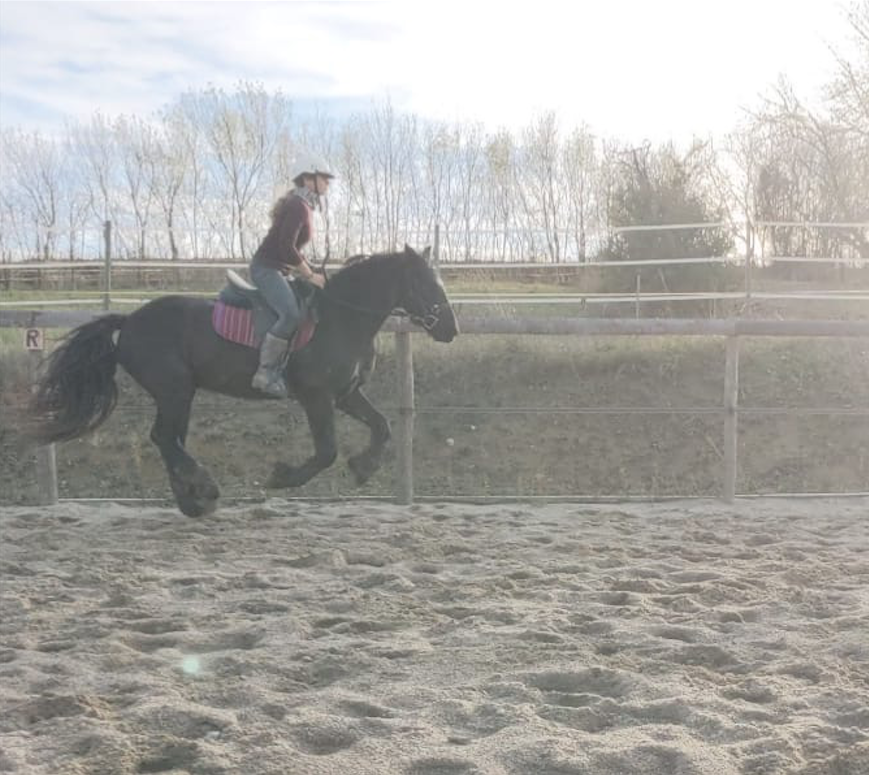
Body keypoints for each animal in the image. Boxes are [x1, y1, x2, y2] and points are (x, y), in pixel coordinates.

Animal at [29, 245, 458, 516]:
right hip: (175, 390)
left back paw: (193, 501)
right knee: (165, 438)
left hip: (180, 394)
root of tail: (130, 321)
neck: (340, 318)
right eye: (426, 284)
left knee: (168, 439)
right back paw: (204, 490)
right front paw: (283, 477)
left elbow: (382, 426)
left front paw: (364, 467)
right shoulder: (317, 397)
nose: (450, 329)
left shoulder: (346, 394)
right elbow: (326, 452)